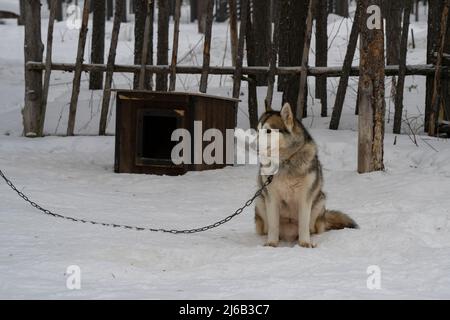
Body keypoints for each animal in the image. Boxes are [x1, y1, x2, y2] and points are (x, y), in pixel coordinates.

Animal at [255, 102, 356, 248]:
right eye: (257, 130)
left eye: (268, 131)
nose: (252, 145)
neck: (285, 162)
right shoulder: (271, 197)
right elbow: (274, 226)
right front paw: (271, 244)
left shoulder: (305, 197)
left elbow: (303, 224)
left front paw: (305, 244)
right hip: (260, 200)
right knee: (268, 228)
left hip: (320, 200)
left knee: (311, 228)